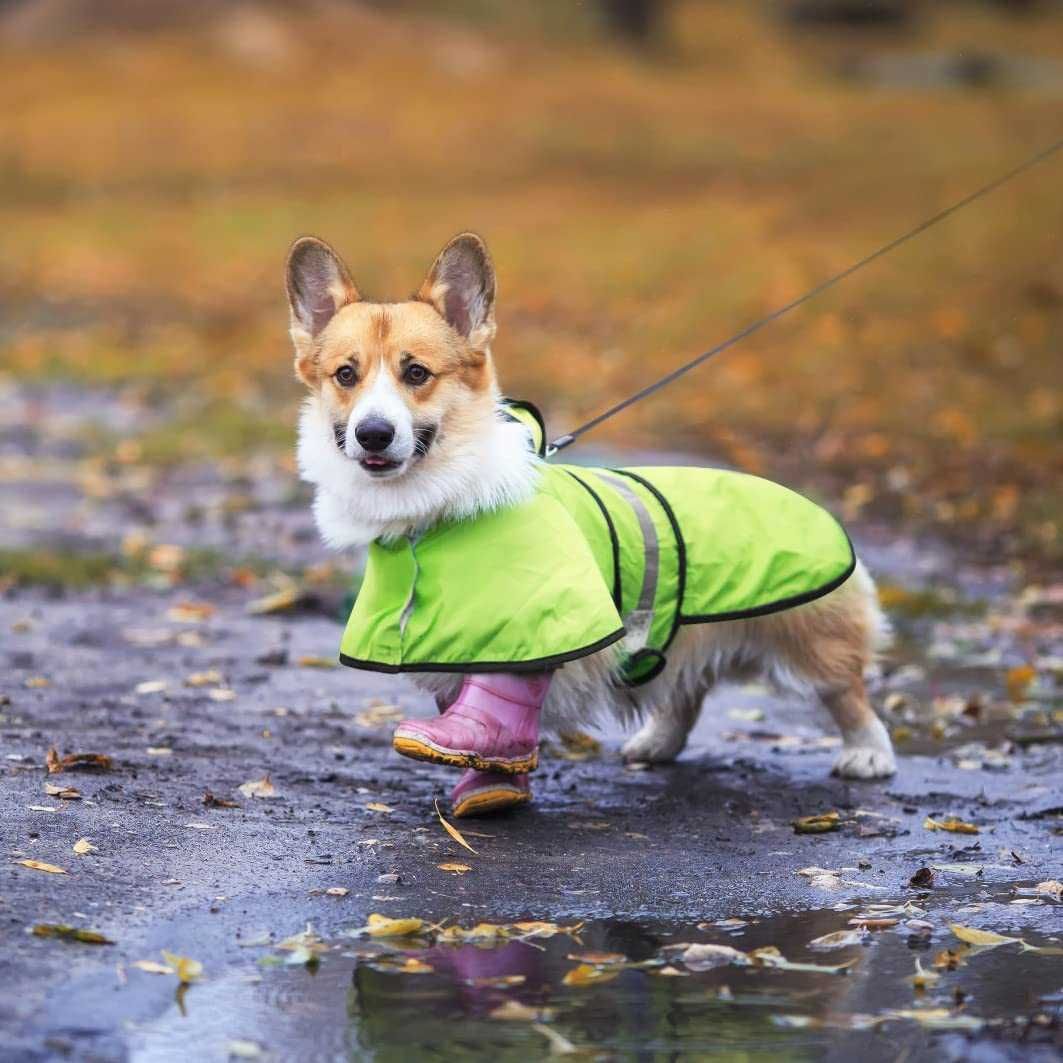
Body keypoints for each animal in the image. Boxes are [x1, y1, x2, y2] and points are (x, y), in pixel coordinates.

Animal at [289, 232, 897, 782]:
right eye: (346, 375)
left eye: (416, 373)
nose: (372, 434)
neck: (438, 506)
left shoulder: (533, 628)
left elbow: (503, 691)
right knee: (686, 689)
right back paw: (656, 743)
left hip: (813, 637)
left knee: (847, 692)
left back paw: (868, 756)